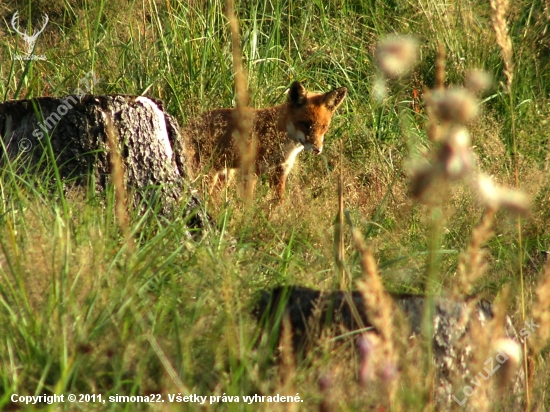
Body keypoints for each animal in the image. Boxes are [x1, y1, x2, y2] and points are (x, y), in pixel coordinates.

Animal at [185, 81, 350, 200]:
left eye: (324, 127)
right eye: (305, 124)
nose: (317, 149)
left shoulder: (280, 171)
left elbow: (278, 201)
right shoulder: (250, 172)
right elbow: (248, 203)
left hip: (225, 174)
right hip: (208, 173)